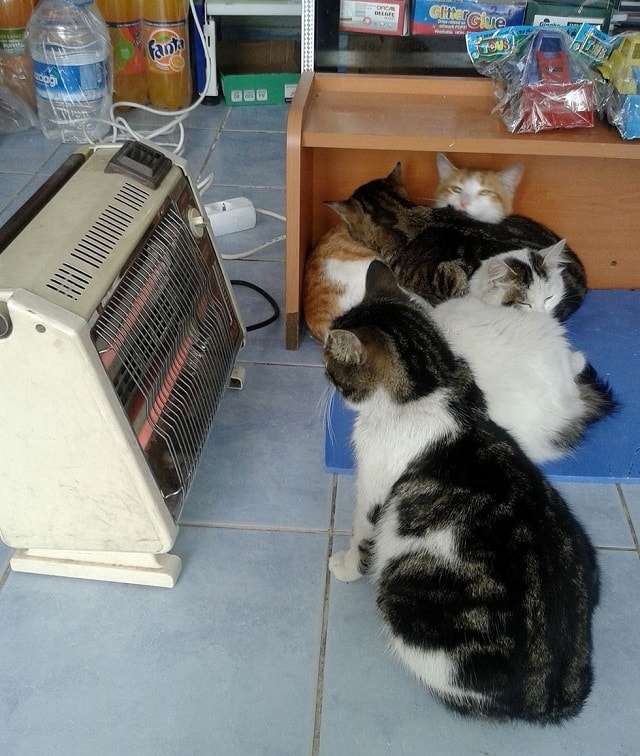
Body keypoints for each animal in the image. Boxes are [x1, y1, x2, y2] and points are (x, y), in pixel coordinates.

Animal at [324, 262, 600, 728]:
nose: (320, 366)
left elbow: (361, 533)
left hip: (404, 599)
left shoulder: (374, 489)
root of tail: (549, 693)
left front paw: (343, 565)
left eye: (330, 357)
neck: (428, 386)